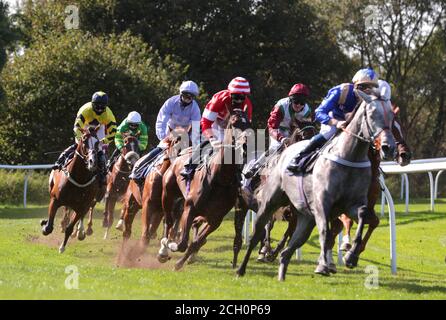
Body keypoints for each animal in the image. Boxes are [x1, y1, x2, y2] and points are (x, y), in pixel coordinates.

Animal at [40, 126, 101, 254]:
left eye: (97, 142)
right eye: (84, 140)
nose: (93, 162)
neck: (79, 178)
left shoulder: (82, 207)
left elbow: (70, 227)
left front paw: (62, 247)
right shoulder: (55, 200)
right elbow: (49, 227)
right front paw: (44, 225)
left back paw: (81, 232)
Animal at [159, 109, 253, 268]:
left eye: (249, 123)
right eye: (234, 122)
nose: (246, 145)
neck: (221, 179)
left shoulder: (215, 219)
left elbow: (195, 243)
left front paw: (180, 262)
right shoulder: (190, 208)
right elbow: (182, 243)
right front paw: (171, 245)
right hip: (167, 194)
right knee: (168, 220)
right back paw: (163, 250)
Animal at [237, 90, 398, 280]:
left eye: (392, 117)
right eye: (372, 115)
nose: (390, 147)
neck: (350, 157)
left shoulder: (352, 205)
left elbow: (363, 216)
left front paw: (351, 256)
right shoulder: (321, 205)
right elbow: (324, 232)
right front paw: (323, 265)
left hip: (305, 218)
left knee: (288, 249)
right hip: (271, 203)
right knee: (260, 231)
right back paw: (245, 265)